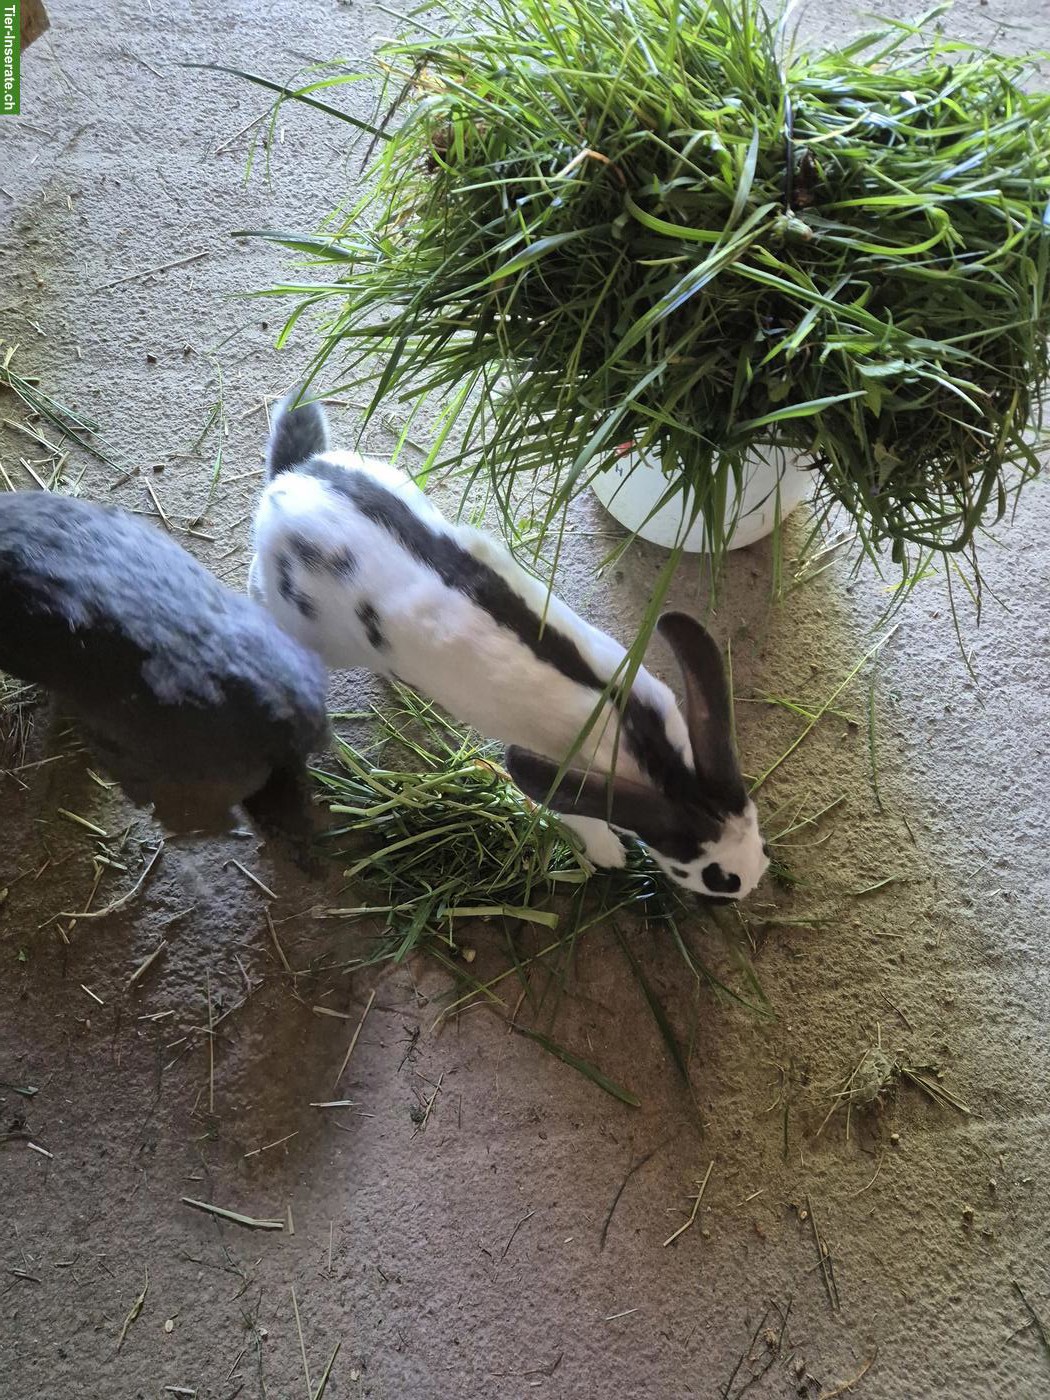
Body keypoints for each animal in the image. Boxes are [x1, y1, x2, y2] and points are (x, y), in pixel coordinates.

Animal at [249, 390, 770, 900]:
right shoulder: (557, 772)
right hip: (304, 619)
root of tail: (291, 481)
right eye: (713, 875)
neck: (656, 760)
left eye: (758, 834)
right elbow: (581, 818)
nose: (753, 881)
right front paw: (611, 855)